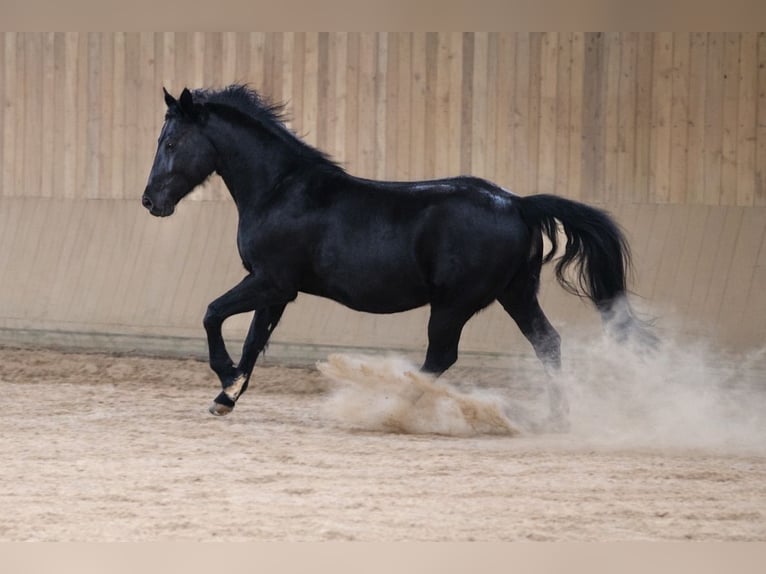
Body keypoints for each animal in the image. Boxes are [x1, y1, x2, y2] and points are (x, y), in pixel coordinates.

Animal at [142, 85, 654, 429]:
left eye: (171, 143)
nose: (150, 202)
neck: (281, 189)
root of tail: (517, 203)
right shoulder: (277, 292)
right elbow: (252, 341)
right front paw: (226, 397)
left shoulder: (271, 281)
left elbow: (213, 314)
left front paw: (224, 379)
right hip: (516, 293)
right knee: (547, 343)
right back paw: (557, 419)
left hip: (454, 303)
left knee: (442, 355)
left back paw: (389, 408)